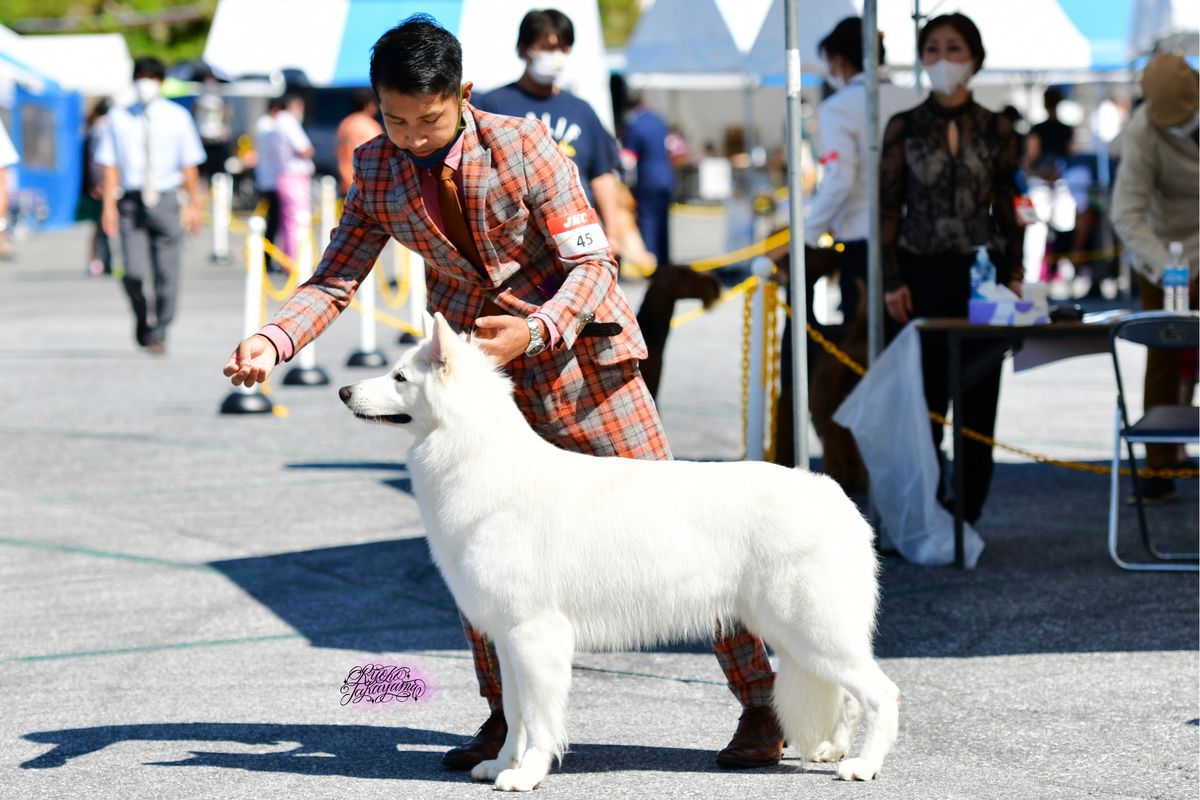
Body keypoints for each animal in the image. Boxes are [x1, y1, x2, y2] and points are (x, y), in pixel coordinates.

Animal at [340, 311, 902, 786]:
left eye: (399, 378)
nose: (344, 391)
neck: (478, 457)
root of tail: (836, 496)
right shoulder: (508, 637)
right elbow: (516, 715)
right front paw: (502, 764)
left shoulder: (535, 635)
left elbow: (539, 719)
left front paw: (527, 775)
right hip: (798, 636)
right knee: (849, 697)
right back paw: (833, 750)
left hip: (810, 630)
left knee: (882, 693)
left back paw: (863, 766)